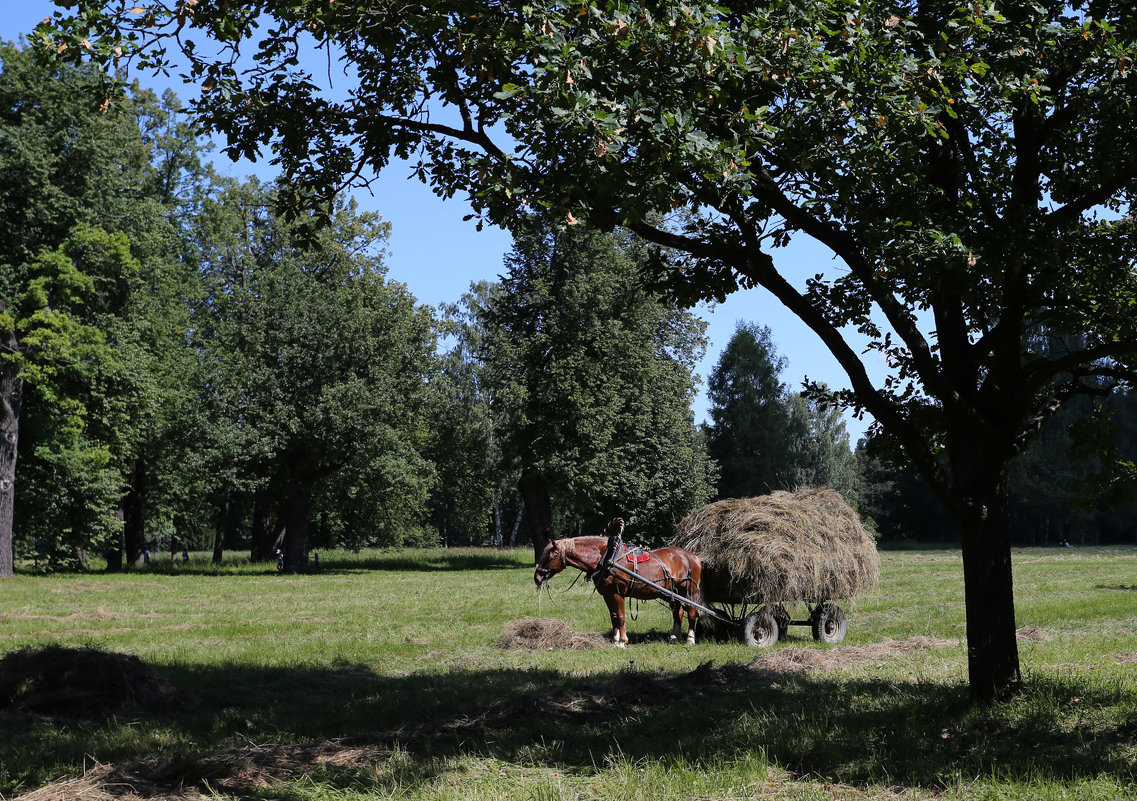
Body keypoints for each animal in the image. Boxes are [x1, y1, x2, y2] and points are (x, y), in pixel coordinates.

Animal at [532, 523, 700, 646]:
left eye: (549, 556)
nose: (537, 577)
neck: (608, 558)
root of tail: (692, 556)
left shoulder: (617, 593)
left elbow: (620, 616)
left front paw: (623, 641)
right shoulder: (607, 594)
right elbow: (613, 616)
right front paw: (615, 639)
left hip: (688, 592)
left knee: (692, 612)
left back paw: (690, 639)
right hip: (669, 593)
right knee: (678, 611)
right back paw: (674, 637)